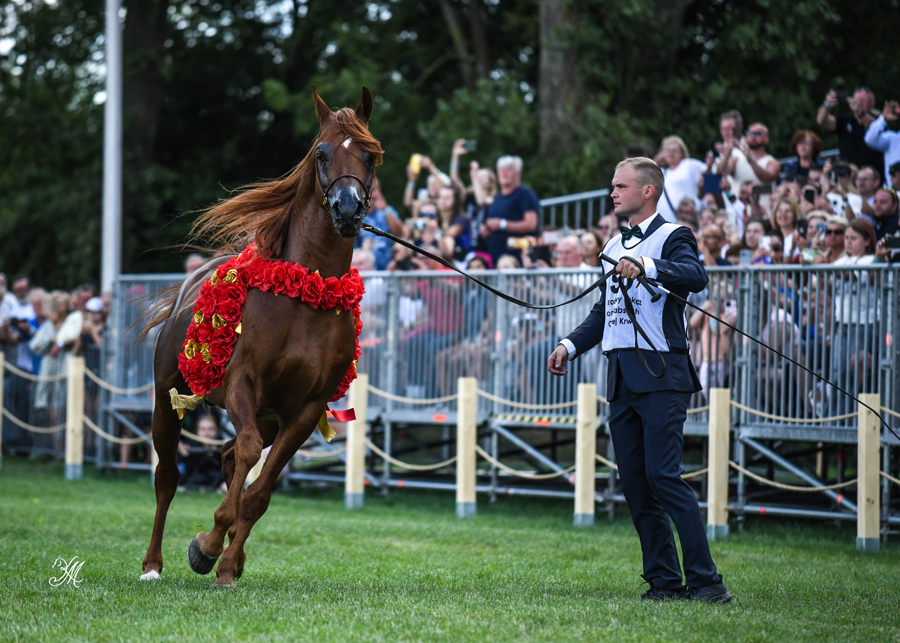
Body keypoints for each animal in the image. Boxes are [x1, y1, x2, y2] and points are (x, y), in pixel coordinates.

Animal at [139, 88, 382, 588]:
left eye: (370, 155)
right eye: (322, 153)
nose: (348, 209)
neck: (307, 296)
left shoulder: (304, 409)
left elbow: (260, 491)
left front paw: (225, 562)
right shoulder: (242, 384)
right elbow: (248, 453)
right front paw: (207, 545)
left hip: (268, 416)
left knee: (229, 456)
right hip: (166, 400)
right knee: (169, 476)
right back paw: (153, 565)